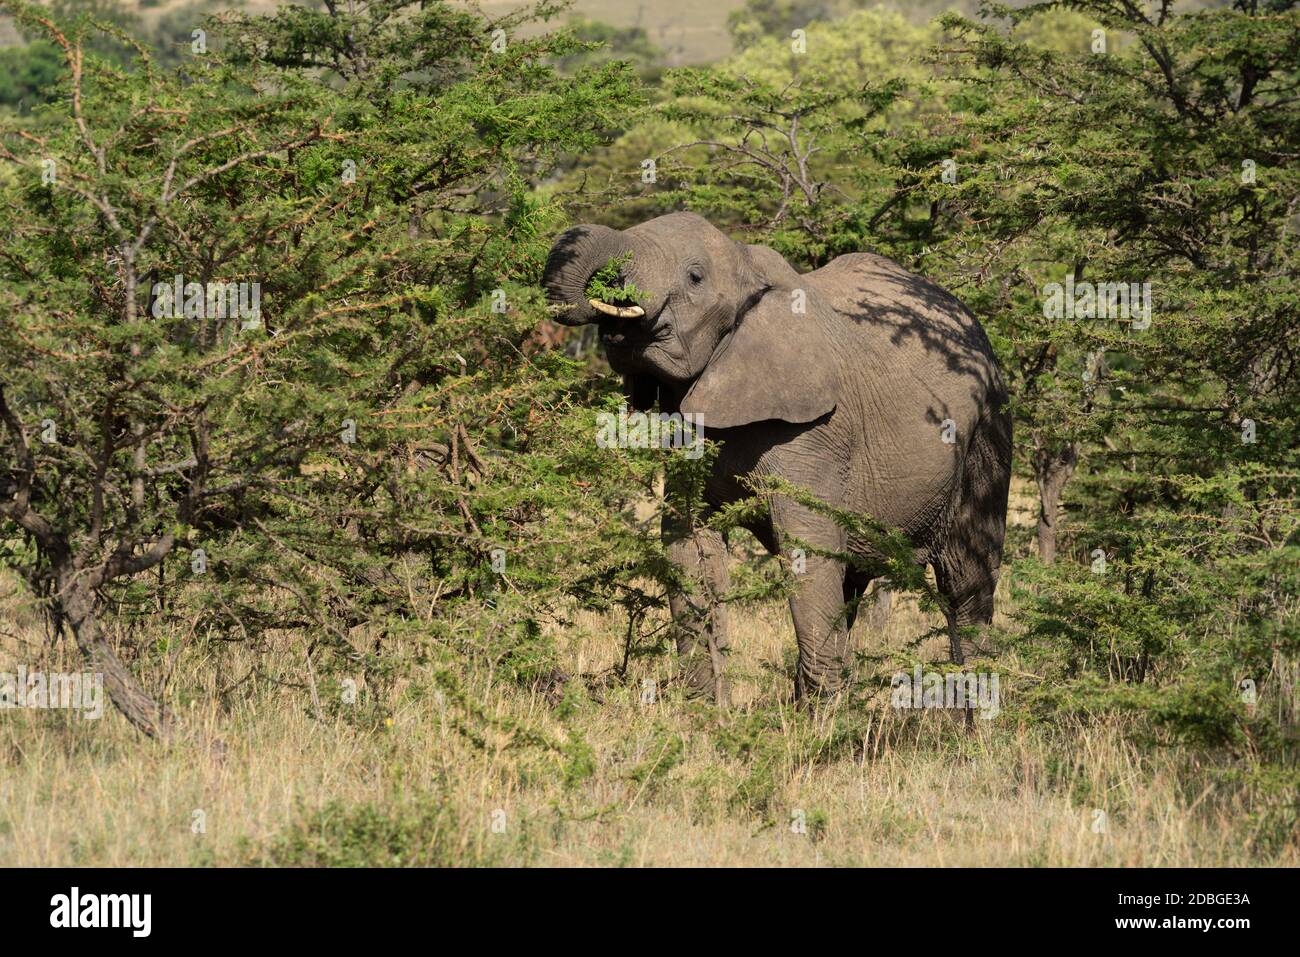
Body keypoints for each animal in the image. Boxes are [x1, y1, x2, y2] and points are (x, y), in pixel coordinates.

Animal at [543, 212, 1011, 705]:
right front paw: (707, 711)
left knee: (965, 580)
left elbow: (807, 549)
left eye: (695, 277)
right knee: (853, 581)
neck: (750, 265)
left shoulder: (816, 432)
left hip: (988, 427)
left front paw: (822, 720)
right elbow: (688, 546)